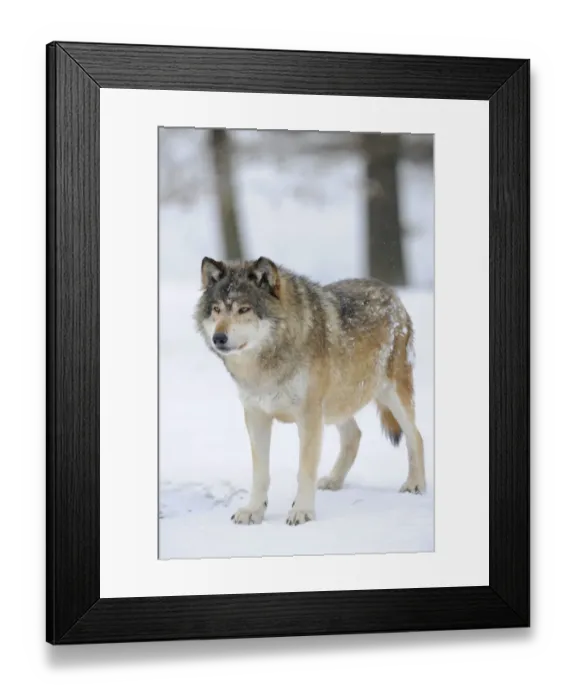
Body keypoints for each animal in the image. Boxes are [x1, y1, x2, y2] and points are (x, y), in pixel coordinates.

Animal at [194, 256, 425, 526]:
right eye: (217, 309)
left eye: (244, 309)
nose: (218, 338)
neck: (266, 365)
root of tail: (390, 292)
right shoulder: (256, 416)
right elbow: (260, 473)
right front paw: (253, 511)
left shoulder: (308, 417)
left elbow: (304, 471)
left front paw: (302, 511)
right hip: (335, 407)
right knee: (354, 435)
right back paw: (334, 480)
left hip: (391, 395)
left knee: (416, 436)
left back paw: (415, 484)